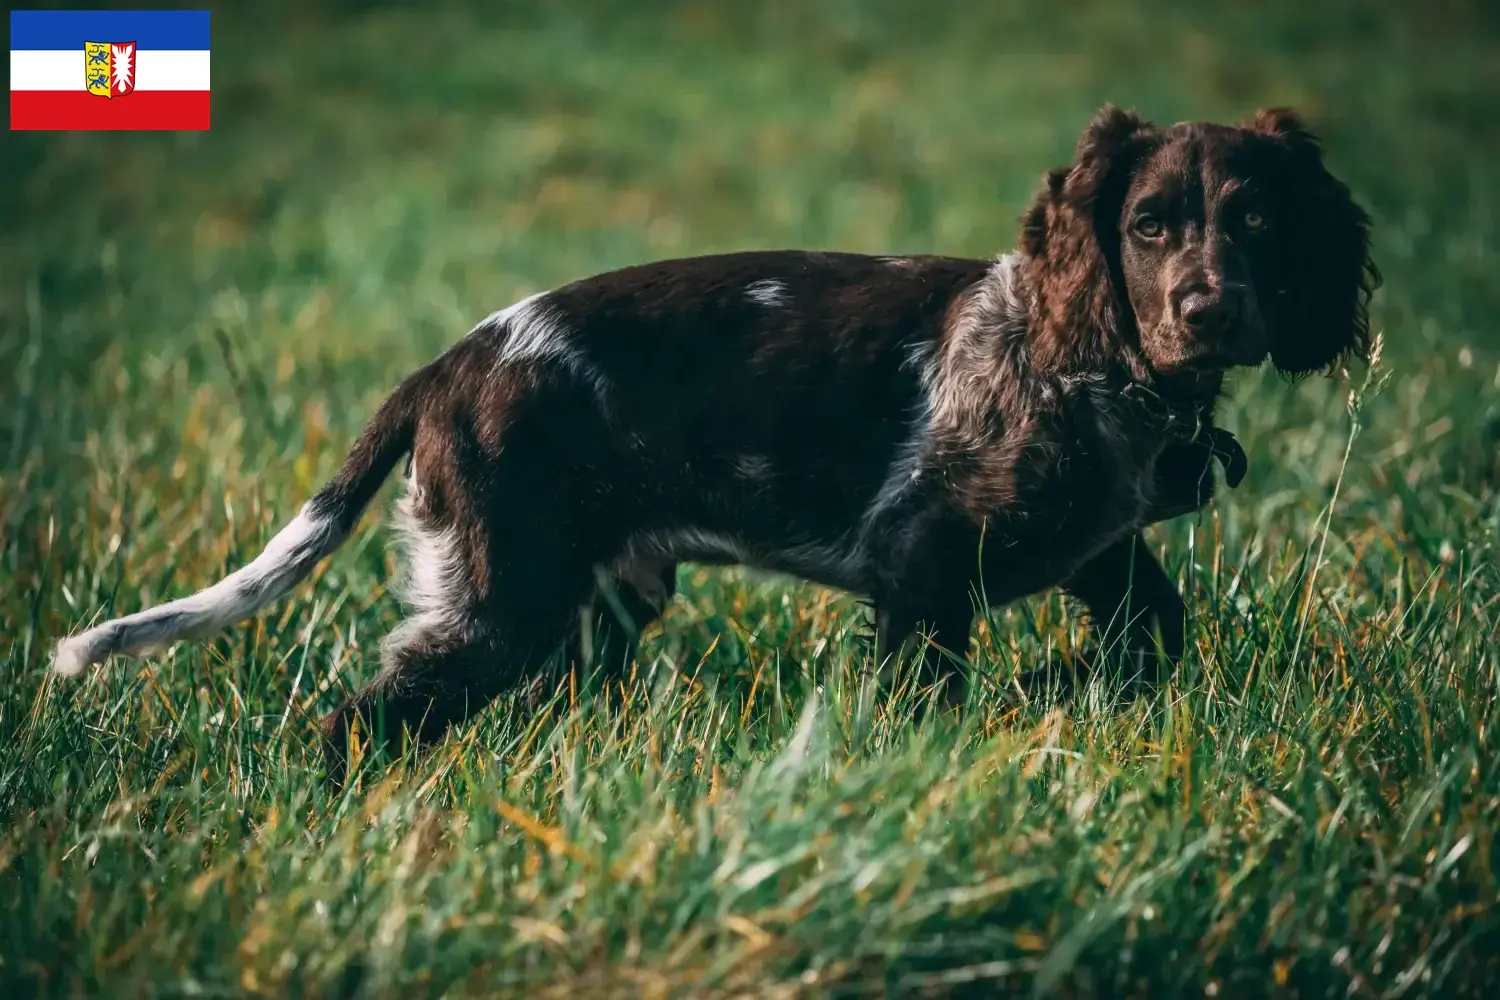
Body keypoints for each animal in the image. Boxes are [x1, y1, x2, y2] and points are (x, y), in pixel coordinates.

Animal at [52, 105, 1374, 779]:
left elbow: (1153, 634)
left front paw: (1065, 687)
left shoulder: (1100, 551)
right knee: (360, 718)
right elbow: (935, 686)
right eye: (1148, 224)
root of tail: (451, 363)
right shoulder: (918, 556)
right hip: (503, 599)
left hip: (587, 612)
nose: (1210, 309)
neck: (1098, 368)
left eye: (1259, 221)